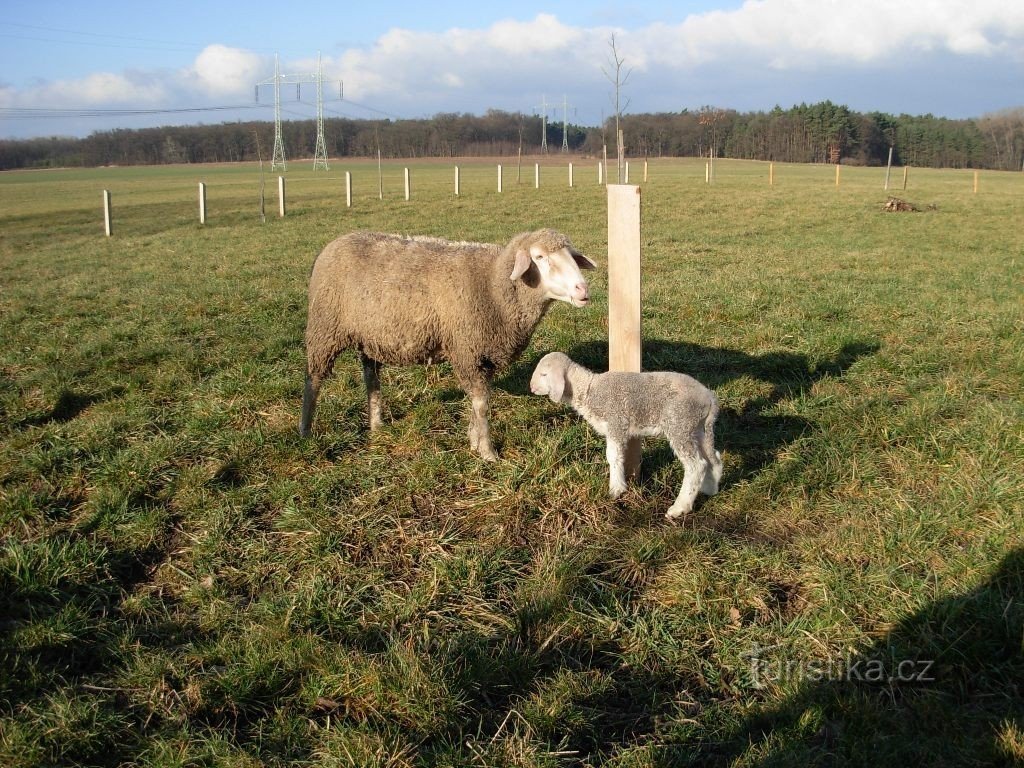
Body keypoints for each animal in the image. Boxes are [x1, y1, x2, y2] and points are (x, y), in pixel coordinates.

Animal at [299, 225, 598, 460]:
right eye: (539, 257)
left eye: (572, 256)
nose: (583, 290)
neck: (493, 285)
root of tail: (333, 243)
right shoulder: (467, 350)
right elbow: (481, 404)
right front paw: (488, 452)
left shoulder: (481, 355)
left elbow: (479, 402)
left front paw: (474, 440)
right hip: (325, 329)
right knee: (313, 379)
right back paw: (305, 430)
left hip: (371, 338)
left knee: (371, 380)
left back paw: (377, 425)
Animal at [532, 352, 724, 520]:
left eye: (544, 374)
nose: (532, 388)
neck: (588, 390)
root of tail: (710, 399)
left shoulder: (616, 423)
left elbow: (613, 456)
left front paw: (616, 489)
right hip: (698, 428)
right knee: (713, 459)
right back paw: (709, 489)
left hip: (679, 423)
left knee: (696, 465)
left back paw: (680, 507)